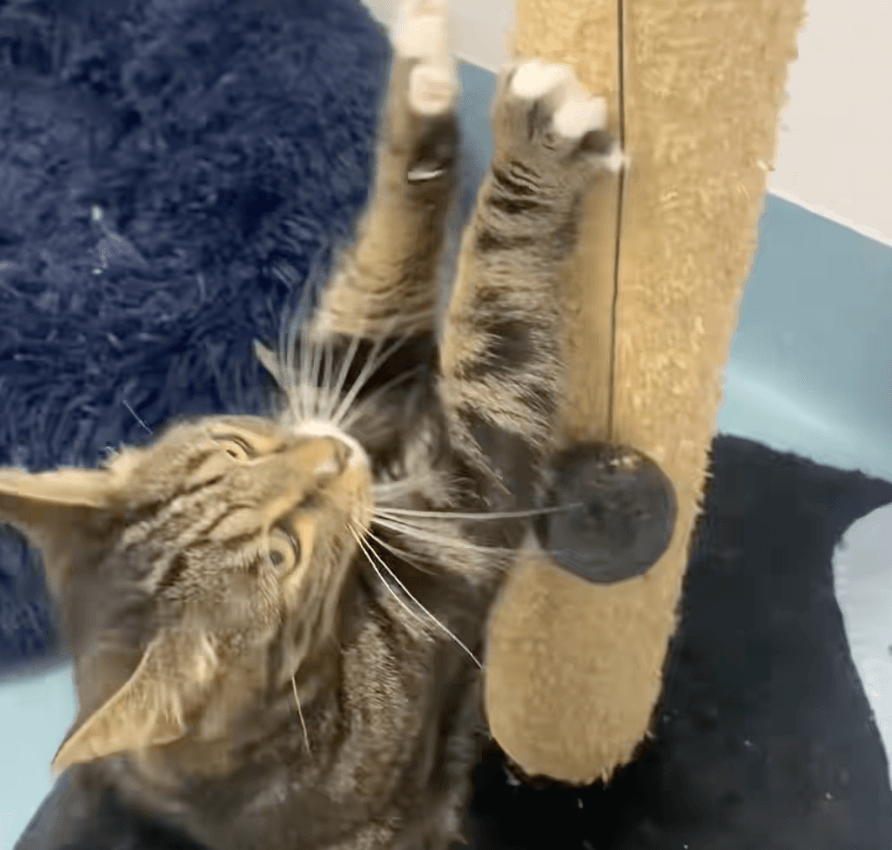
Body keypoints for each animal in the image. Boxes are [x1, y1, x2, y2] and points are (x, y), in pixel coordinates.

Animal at [1, 0, 622, 847]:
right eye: (281, 553)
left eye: (237, 447)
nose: (333, 456)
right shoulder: (460, 506)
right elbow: (496, 303)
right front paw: (534, 143)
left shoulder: (363, 392)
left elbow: (381, 284)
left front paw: (420, 98)